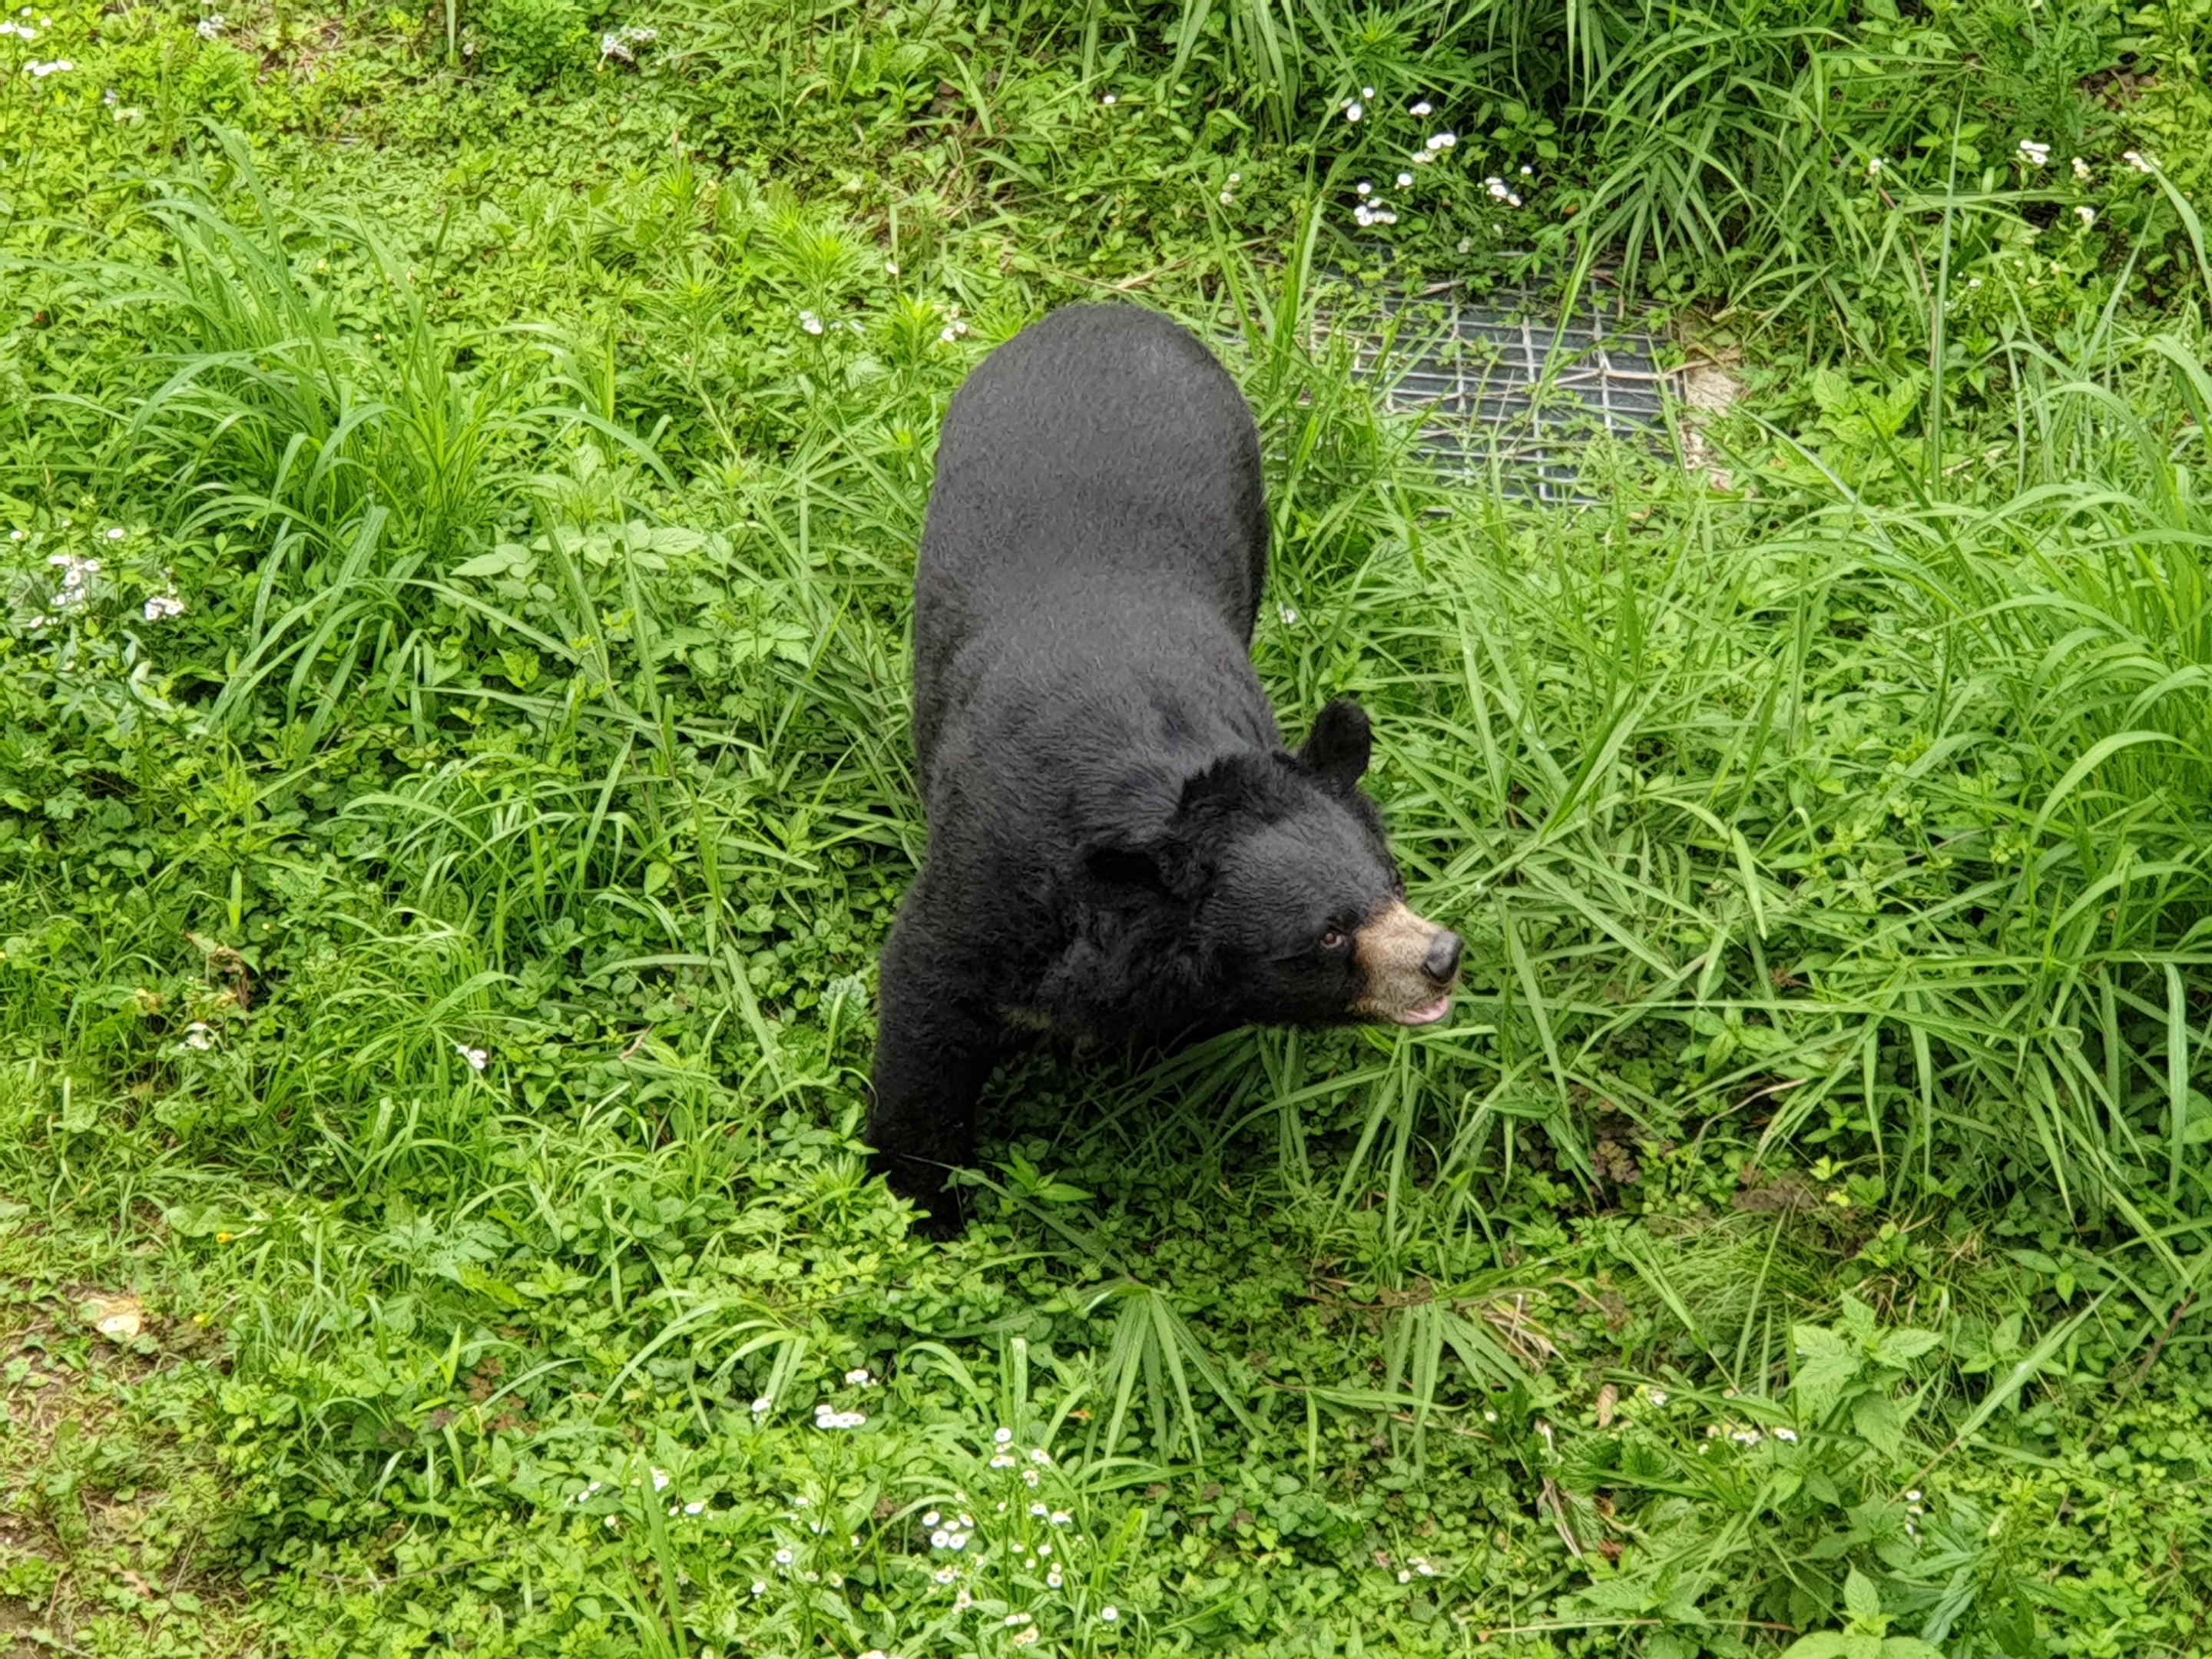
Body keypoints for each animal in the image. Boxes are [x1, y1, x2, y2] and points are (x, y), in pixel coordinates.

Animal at [868, 303, 1461, 1234]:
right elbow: (929, 998)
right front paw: (924, 1205)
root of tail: (1107, 312)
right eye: (1328, 934)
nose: (1442, 955)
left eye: (1392, 882)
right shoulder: (996, 874)